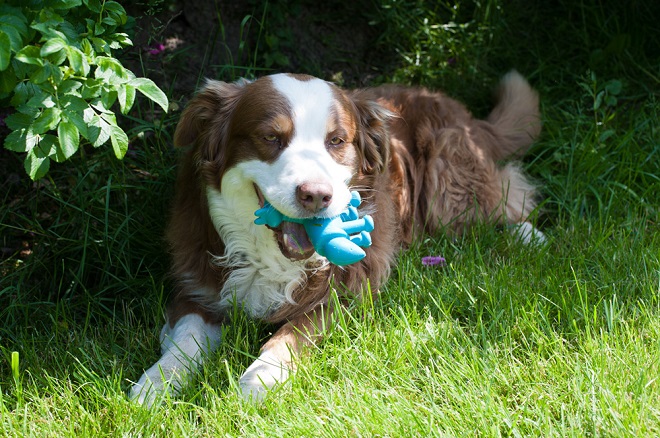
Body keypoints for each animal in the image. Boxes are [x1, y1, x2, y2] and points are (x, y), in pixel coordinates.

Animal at [127, 70, 540, 406]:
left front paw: (258, 380)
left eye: (337, 141)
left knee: (506, 192)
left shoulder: (346, 294)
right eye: (271, 137)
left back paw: (529, 236)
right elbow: (186, 339)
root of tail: (457, 109)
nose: (316, 195)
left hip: (448, 188)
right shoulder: (197, 286)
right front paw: (154, 385)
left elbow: (292, 333)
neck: (271, 259)